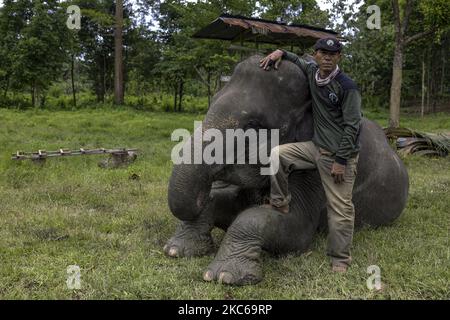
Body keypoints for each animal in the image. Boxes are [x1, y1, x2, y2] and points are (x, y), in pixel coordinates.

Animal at [163, 54, 410, 284]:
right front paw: (175, 251)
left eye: (253, 126)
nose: (206, 186)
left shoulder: (313, 169)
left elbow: (292, 228)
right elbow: (233, 202)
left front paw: (225, 276)